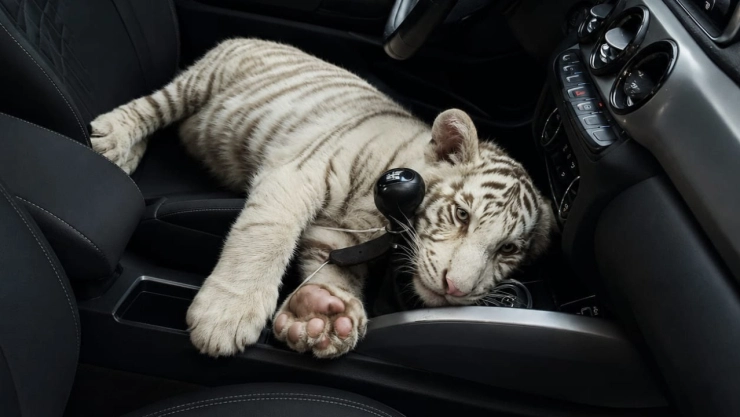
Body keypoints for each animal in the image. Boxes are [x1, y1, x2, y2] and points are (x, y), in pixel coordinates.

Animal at [89, 38, 555, 359]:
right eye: (461, 215)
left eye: (507, 249)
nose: (456, 288)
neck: (381, 215)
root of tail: (257, 37)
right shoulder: (296, 174)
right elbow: (264, 238)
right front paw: (226, 315)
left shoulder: (340, 235)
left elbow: (334, 271)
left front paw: (323, 314)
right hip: (201, 81)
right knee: (154, 106)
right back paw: (113, 139)